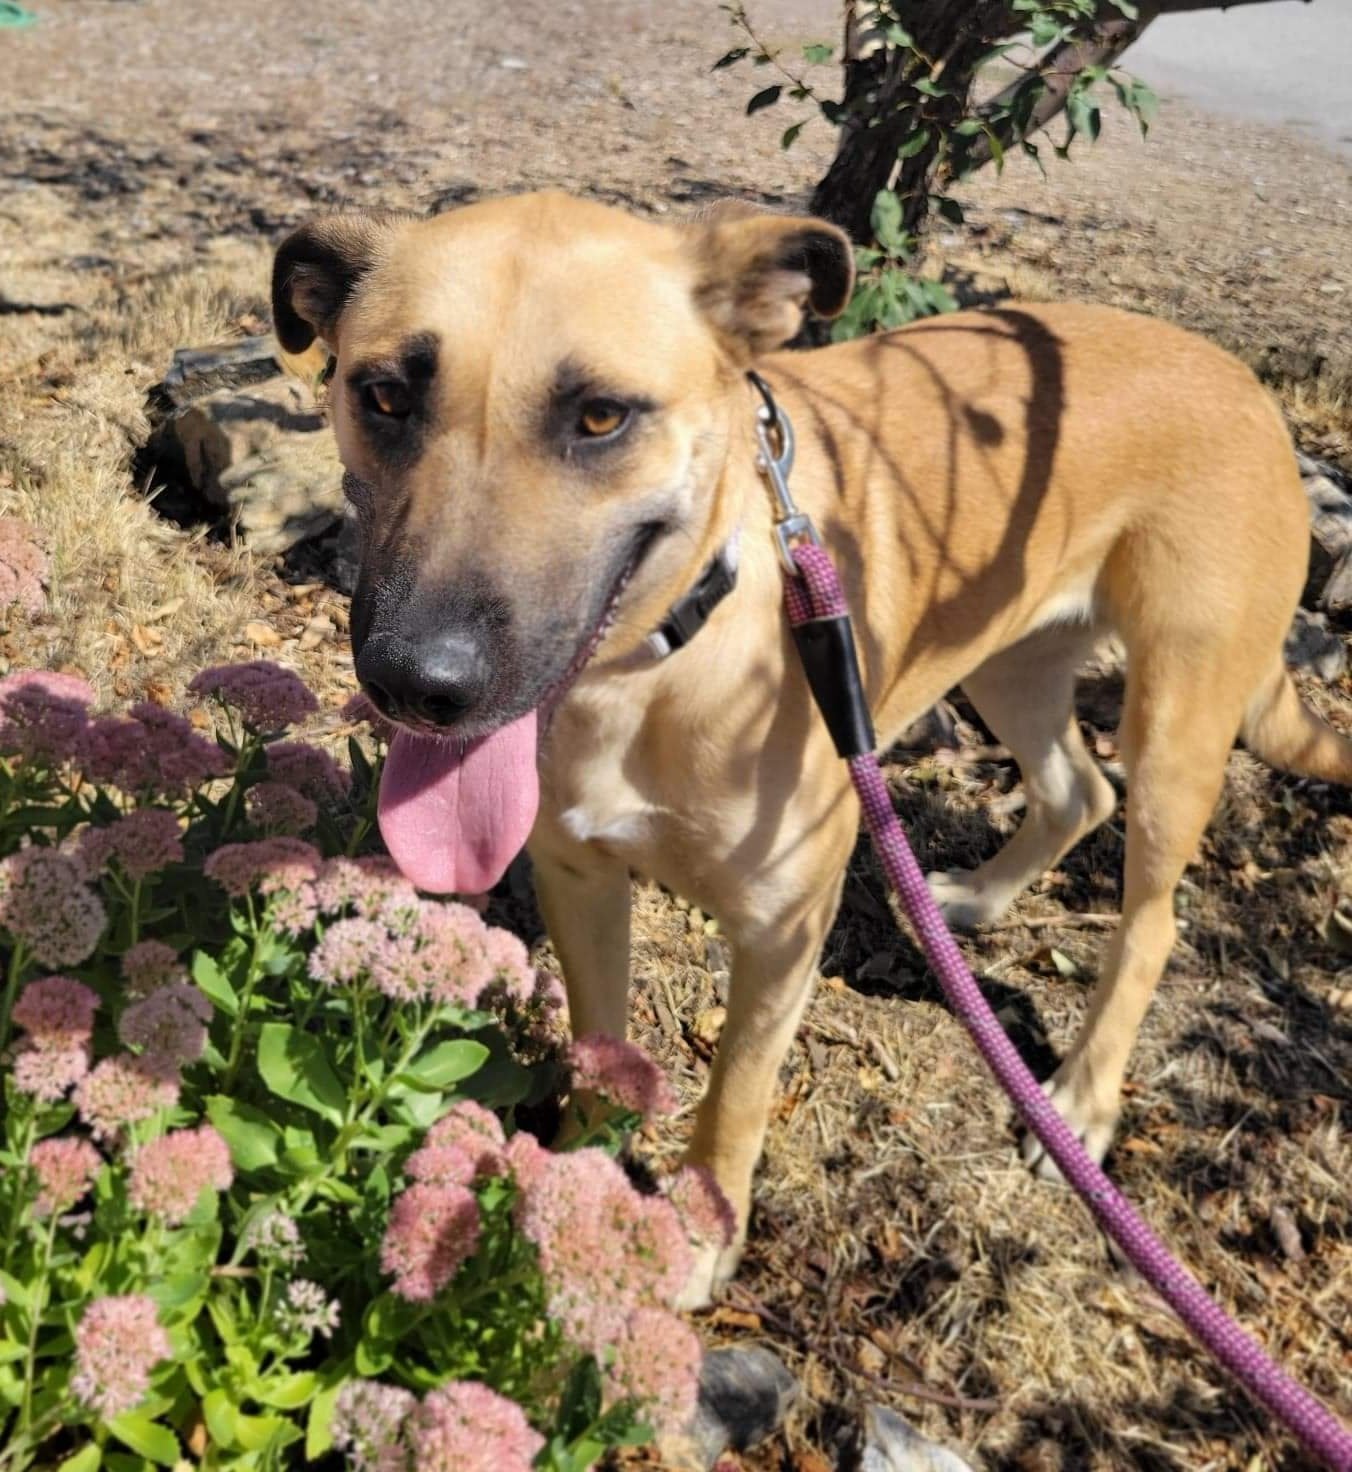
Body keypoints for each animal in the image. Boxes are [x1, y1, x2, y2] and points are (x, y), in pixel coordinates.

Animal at [269, 189, 1349, 1307]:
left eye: (601, 417)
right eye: (384, 394)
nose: (419, 684)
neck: (661, 660)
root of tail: (1241, 380)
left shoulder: (783, 931)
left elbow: (735, 1093)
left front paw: (700, 1230)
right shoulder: (580, 877)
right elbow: (600, 1042)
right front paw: (576, 1184)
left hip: (1177, 721)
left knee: (1150, 918)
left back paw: (1082, 1097)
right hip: (1008, 665)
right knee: (1075, 792)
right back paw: (972, 900)